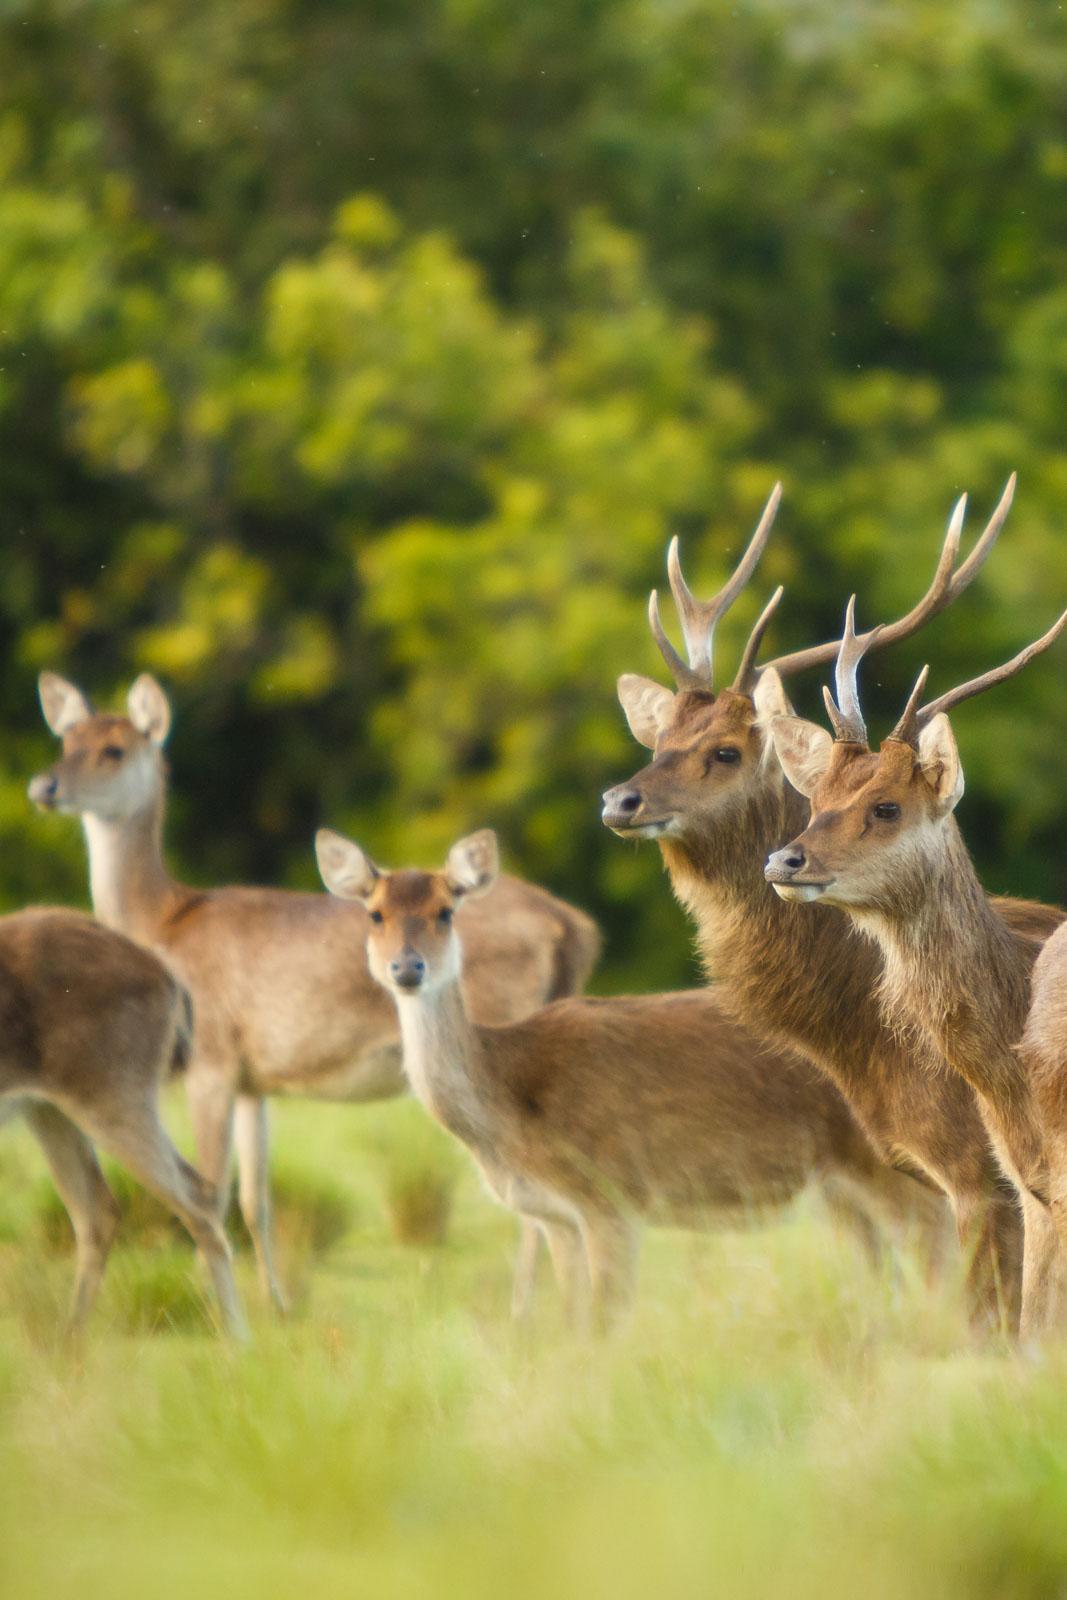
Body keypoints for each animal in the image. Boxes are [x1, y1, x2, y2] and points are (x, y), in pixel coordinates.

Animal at [0, 908, 244, 1331]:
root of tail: (166, 975)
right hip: (49, 1108)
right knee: (100, 1211)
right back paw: (69, 1339)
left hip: (114, 1095)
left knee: (195, 1199)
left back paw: (238, 1340)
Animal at [29, 675, 601, 1312]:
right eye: (65, 740)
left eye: (114, 749)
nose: (44, 785)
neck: (162, 921)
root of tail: (573, 926)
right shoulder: (254, 1083)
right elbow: (254, 1199)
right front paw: (276, 1307)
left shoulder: (211, 1061)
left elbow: (211, 1188)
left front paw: (210, 1302)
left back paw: (522, 1309)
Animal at [313, 825, 947, 1324]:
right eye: (374, 915)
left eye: (446, 912)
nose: (407, 968)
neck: (509, 1105)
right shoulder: (556, 1218)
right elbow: (573, 1318)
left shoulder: (610, 1197)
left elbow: (604, 1322)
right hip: (840, 1192)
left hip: (894, 1170)